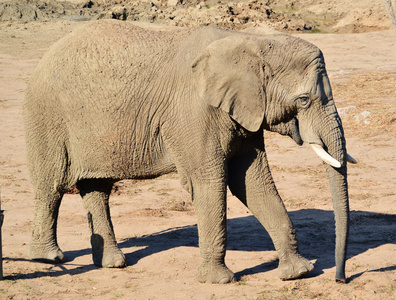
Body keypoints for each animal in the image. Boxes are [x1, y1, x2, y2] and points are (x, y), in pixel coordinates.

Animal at [24, 20, 356, 284]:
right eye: (303, 100)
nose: (341, 279)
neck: (249, 41)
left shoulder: (243, 114)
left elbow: (252, 182)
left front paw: (299, 272)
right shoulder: (193, 111)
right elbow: (209, 183)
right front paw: (219, 281)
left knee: (97, 189)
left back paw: (113, 263)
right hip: (47, 112)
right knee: (51, 185)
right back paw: (50, 259)